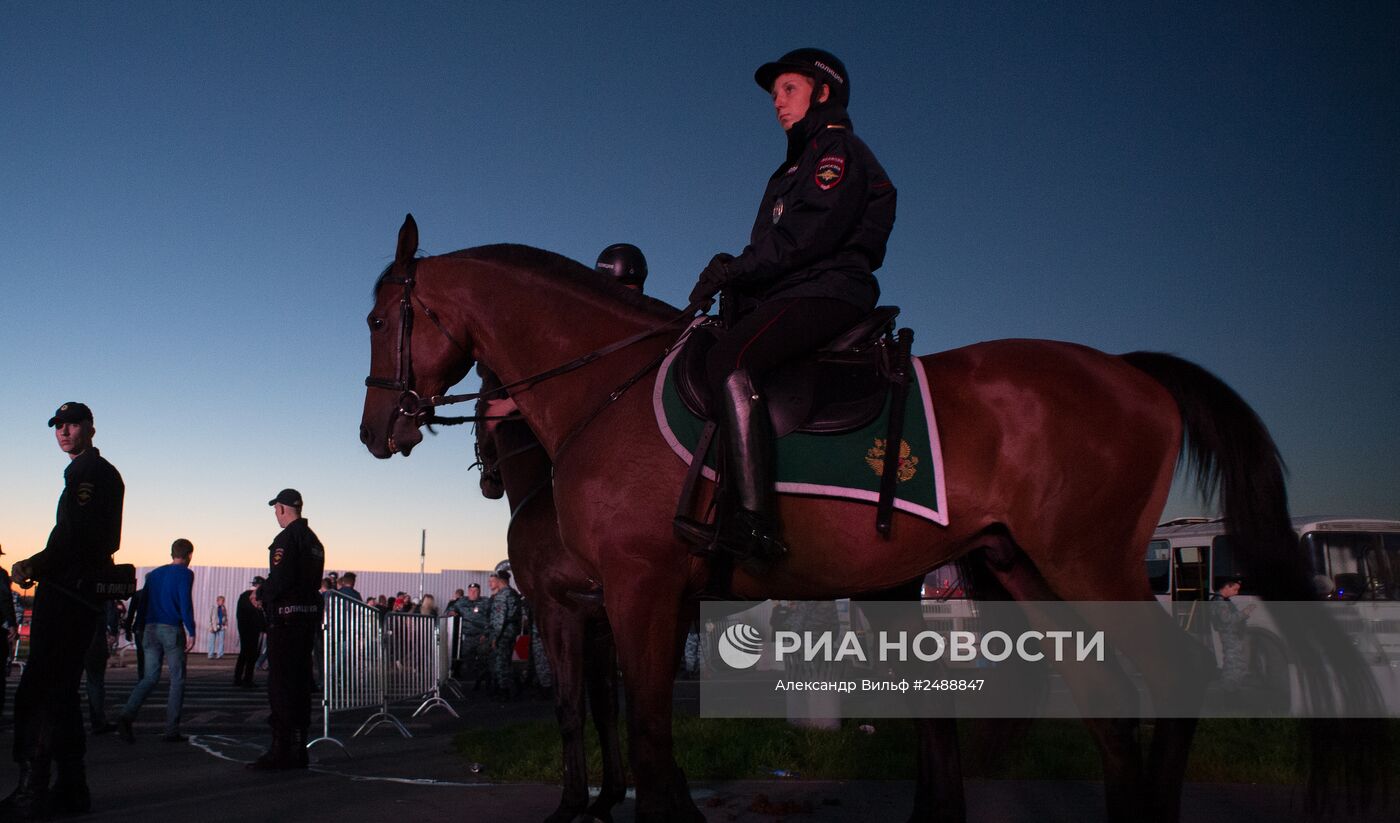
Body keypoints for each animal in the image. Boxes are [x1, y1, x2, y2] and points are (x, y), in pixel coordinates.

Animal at [473, 369, 627, 817]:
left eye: (476, 413)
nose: (488, 483)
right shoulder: (601, 627)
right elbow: (605, 706)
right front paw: (607, 797)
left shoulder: (557, 615)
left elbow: (569, 706)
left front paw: (572, 802)